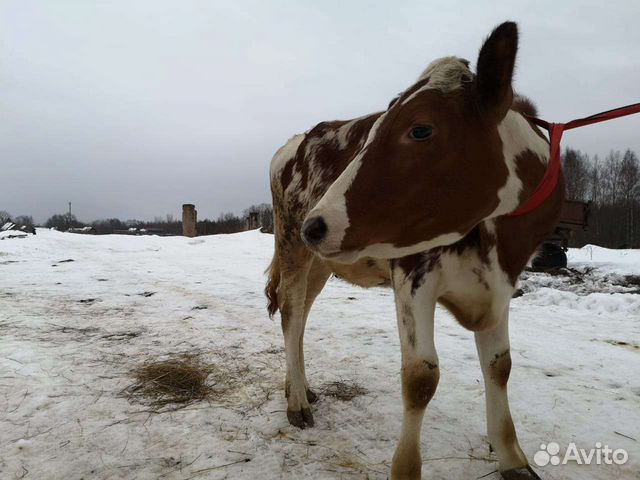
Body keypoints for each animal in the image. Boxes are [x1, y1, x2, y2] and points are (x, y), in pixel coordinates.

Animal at [264, 23, 564, 480]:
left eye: (420, 129)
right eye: (375, 130)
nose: (316, 225)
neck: (492, 237)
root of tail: (295, 141)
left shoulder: (502, 281)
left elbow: (499, 366)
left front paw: (513, 458)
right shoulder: (413, 273)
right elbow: (421, 378)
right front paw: (406, 468)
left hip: (321, 260)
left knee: (299, 314)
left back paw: (299, 387)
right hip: (291, 243)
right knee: (291, 310)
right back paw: (297, 399)